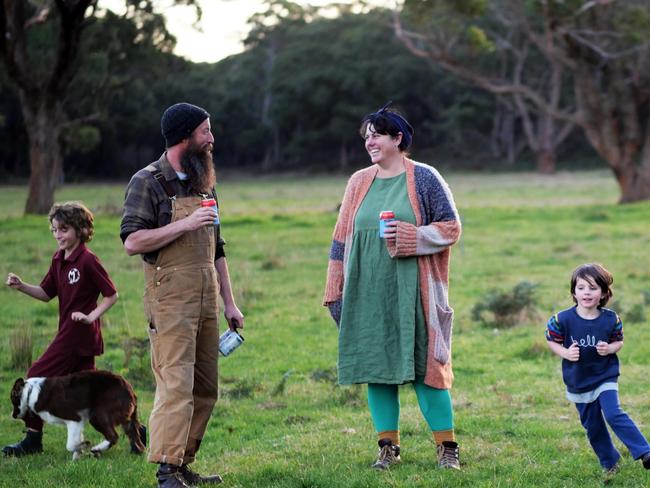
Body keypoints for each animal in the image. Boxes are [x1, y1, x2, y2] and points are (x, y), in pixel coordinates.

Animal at [10, 372, 144, 460]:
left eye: (13, 400)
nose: (13, 415)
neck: (30, 391)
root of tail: (130, 389)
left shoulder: (74, 420)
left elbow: (70, 445)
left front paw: (84, 446)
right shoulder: (79, 423)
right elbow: (76, 441)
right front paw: (77, 456)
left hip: (97, 415)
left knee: (114, 436)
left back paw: (97, 449)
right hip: (126, 420)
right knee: (136, 439)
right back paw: (137, 453)